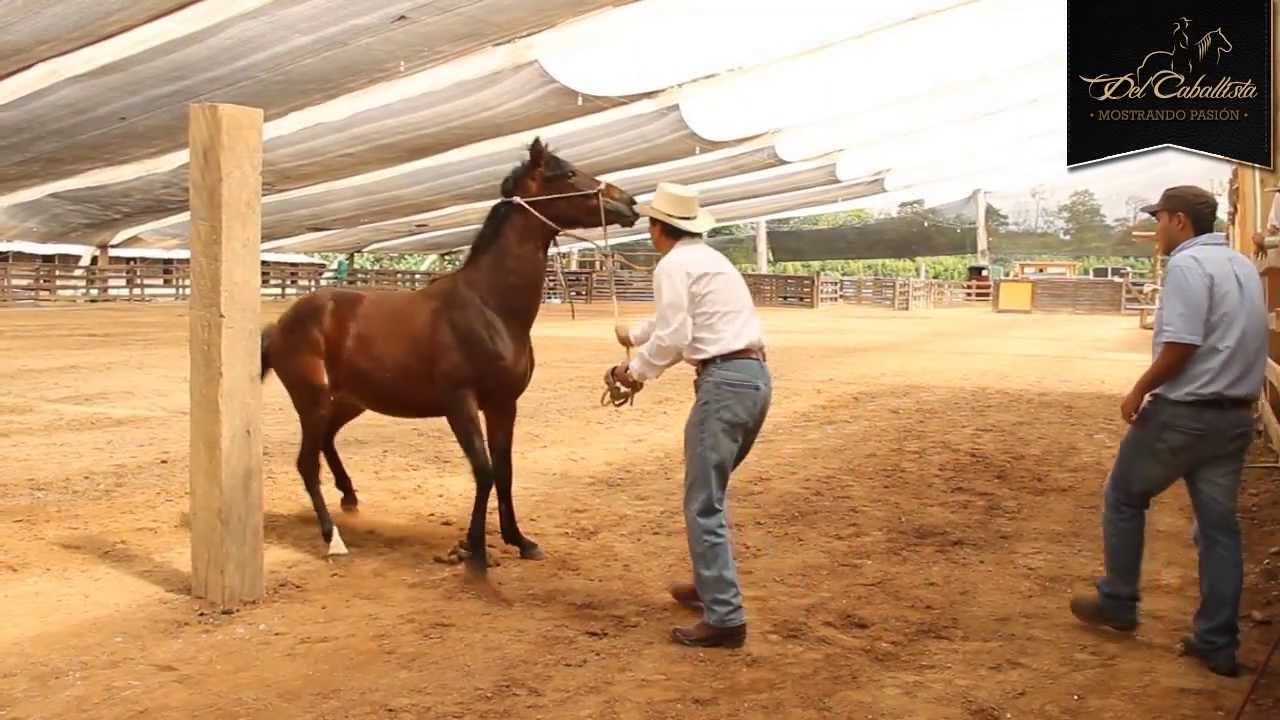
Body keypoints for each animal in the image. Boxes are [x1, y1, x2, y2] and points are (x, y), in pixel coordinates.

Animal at [259, 138, 639, 576]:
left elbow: (505, 471)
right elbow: (484, 471)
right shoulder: (461, 405)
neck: (489, 306)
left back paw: (350, 498)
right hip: (313, 401)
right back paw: (333, 538)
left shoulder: (504, 404)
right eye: (569, 173)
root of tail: (280, 324)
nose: (629, 203)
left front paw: (519, 541)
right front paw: (474, 552)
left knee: (326, 442)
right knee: (307, 463)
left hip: (352, 401)